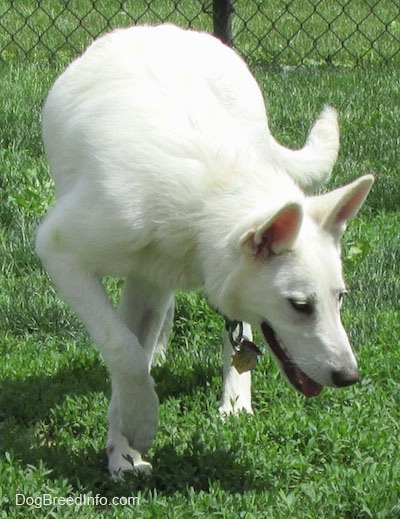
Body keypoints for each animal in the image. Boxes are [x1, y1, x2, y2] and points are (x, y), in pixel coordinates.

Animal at [36, 24, 374, 480]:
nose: (350, 376)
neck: (211, 198)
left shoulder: (148, 278)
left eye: (340, 299)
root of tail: (163, 28)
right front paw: (135, 434)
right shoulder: (60, 252)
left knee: (233, 336)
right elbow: (123, 348)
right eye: (300, 306)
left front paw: (125, 447)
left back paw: (234, 402)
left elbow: (131, 353)